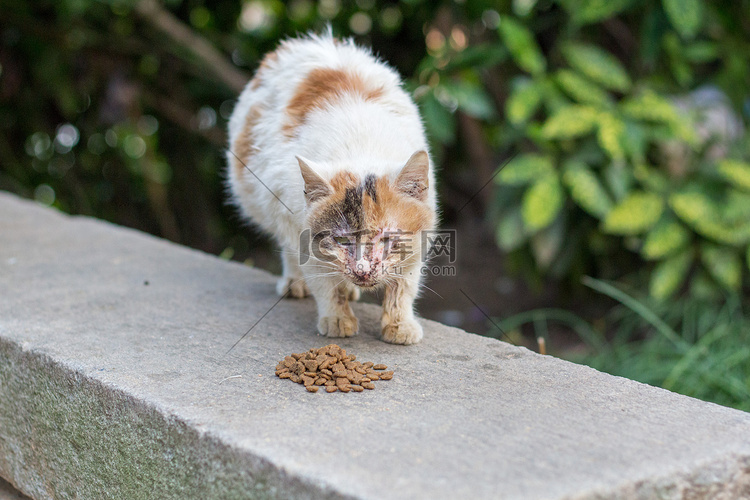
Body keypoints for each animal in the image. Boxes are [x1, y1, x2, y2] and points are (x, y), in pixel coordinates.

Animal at [226, 31, 438, 344]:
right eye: (340, 240)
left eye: (388, 238)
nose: (362, 271)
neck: (362, 147)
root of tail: (305, 41)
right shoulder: (298, 226)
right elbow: (323, 281)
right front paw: (337, 319)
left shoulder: (419, 240)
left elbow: (404, 285)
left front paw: (399, 325)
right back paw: (296, 283)